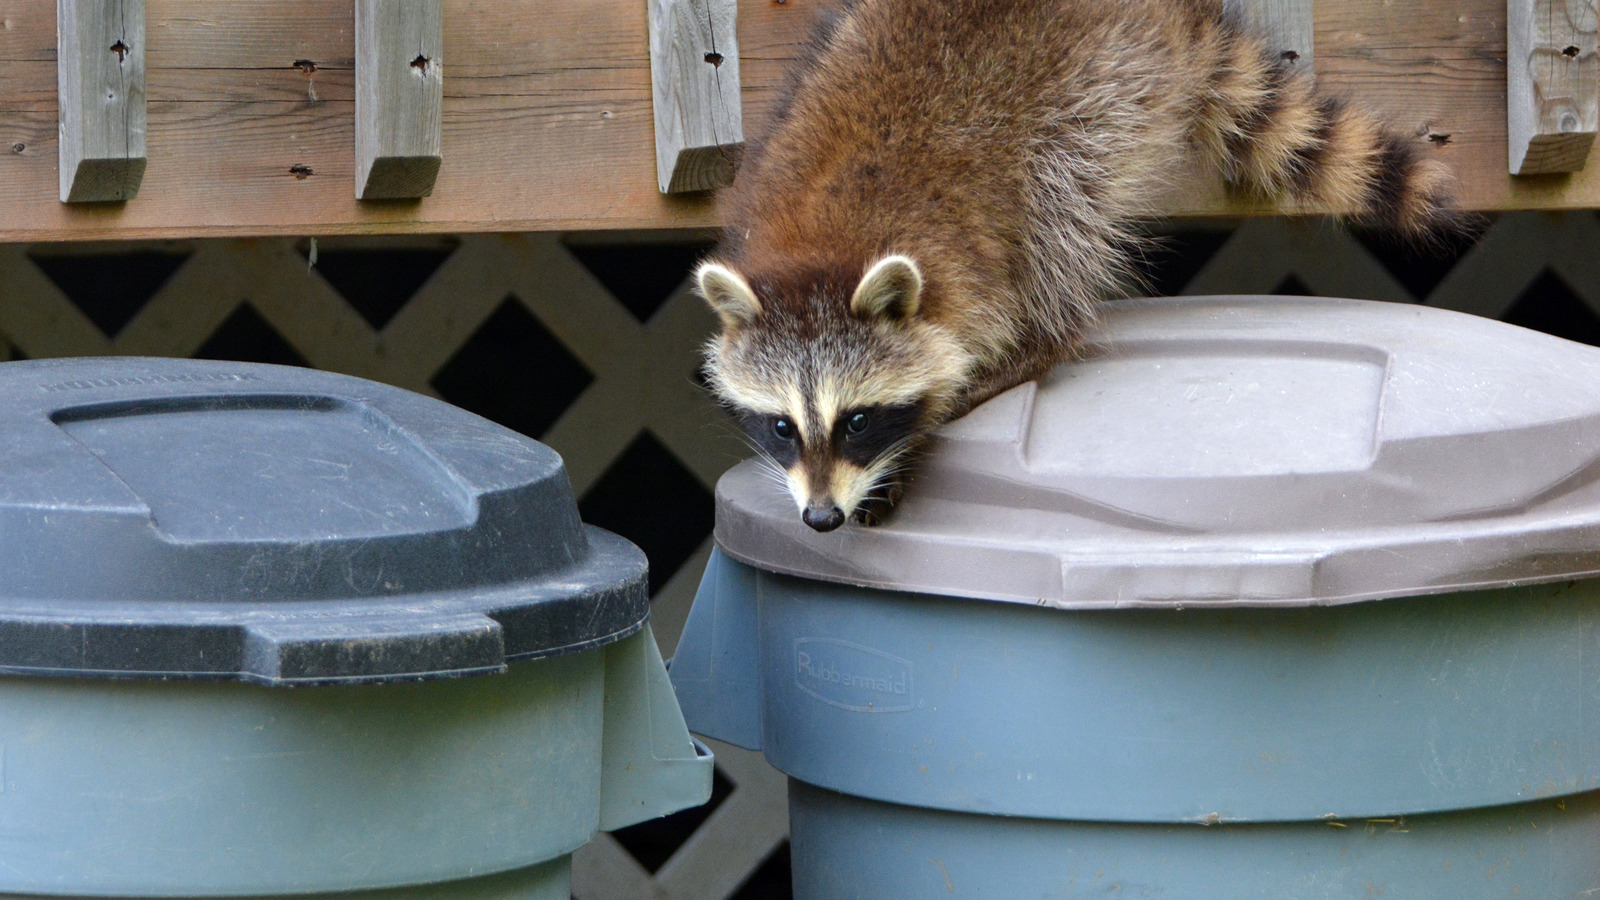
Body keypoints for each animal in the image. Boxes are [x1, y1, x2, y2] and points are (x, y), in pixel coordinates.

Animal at [698, 0, 1455, 532]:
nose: (821, 518)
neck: (825, 251)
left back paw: (1046, 334)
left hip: (1101, 90)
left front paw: (912, 440)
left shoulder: (971, 267)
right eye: (782, 426)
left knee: (1059, 211)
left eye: (856, 420)